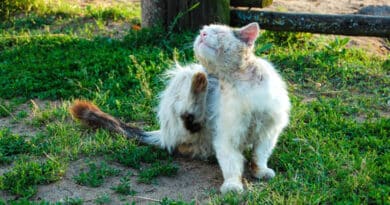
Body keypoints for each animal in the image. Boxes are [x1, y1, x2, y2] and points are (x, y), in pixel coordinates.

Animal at [69, 22, 290, 194]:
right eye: (204, 31)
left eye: (216, 32)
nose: (202, 34)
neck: (238, 81)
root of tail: (163, 133)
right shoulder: (227, 136)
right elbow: (231, 164)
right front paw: (233, 185)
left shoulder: (269, 131)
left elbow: (260, 155)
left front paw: (261, 171)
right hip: (184, 75)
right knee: (187, 119)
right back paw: (199, 84)